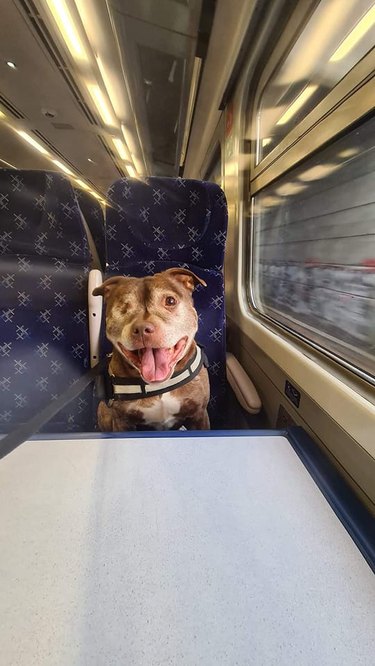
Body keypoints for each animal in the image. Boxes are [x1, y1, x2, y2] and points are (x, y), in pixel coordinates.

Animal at [93, 268, 212, 430]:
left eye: (170, 301)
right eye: (123, 306)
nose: (142, 329)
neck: (160, 385)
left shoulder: (199, 414)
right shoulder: (121, 422)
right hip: (103, 410)